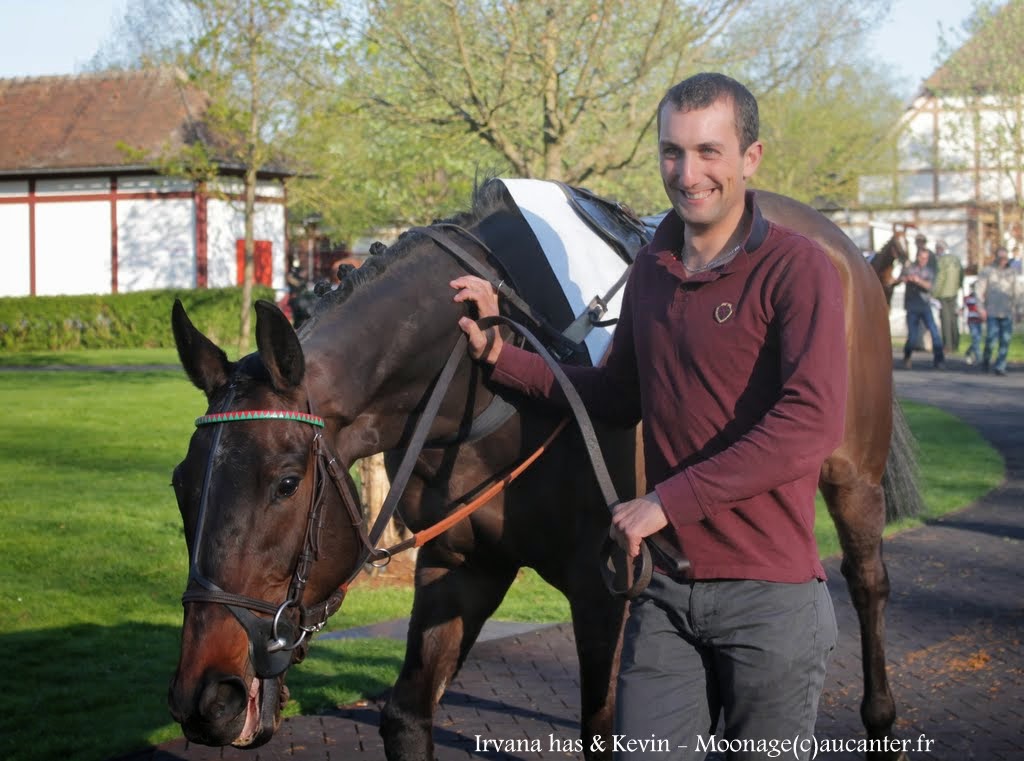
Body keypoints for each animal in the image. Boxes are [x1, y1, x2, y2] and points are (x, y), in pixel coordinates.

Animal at [165, 180, 921, 761]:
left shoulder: (609, 586)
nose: (206, 695)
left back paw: (880, 716)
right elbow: (406, 714)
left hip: (850, 473)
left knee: (867, 581)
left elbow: (607, 729)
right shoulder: (461, 563)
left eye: (286, 481)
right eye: (181, 484)